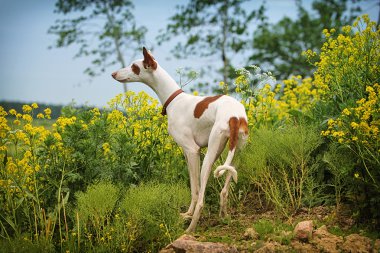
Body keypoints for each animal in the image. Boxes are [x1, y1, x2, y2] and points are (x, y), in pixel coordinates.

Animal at [112, 47, 249, 233]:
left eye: (134, 66)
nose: (113, 73)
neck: (174, 99)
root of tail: (235, 116)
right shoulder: (187, 153)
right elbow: (193, 186)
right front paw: (188, 213)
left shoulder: (192, 151)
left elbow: (195, 190)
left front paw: (188, 216)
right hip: (236, 155)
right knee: (224, 191)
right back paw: (224, 217)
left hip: (210, 158)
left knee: (202, 201)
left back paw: (190, 229)